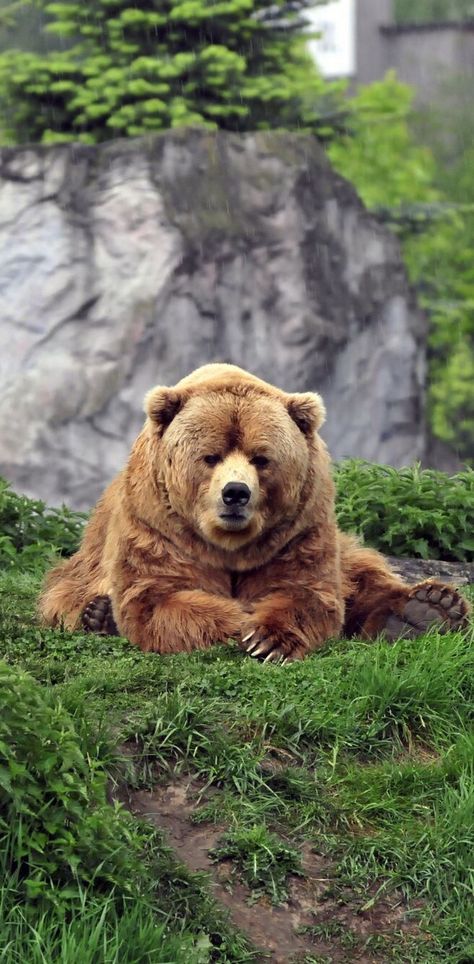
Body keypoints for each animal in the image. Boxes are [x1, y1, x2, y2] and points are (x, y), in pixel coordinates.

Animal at [39, 364, 468, 664]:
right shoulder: (157, 527)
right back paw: (97, 615)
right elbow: (159, 597)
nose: (235, 493)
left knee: (363, 573)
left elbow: (308, 592)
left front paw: (268, 638)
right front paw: (239, 622)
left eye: (261, 458)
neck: (229, 545)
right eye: (210, 456)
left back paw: (427, 608)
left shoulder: (298, 530)